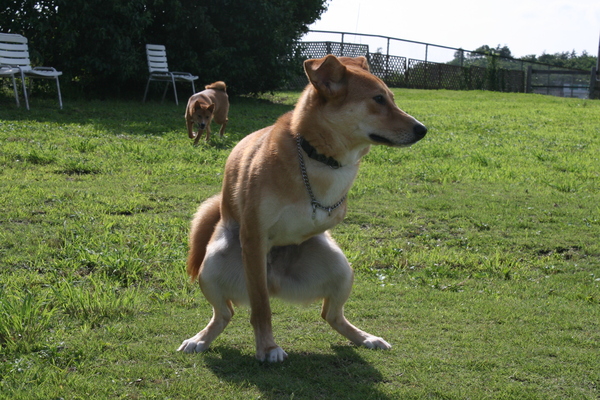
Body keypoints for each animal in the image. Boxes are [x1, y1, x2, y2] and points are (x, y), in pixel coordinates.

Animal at [178, 55, 426, 362]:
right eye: (378, 99)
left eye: (391, 98)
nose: (422, 129)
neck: (317, 156)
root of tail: (276, 282)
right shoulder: (253, 238)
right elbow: (261, 306)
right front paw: (267, 347)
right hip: (211, 267)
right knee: (225, 313)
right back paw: (200, 339)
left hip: (341, 268)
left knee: (331, 314)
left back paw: (365, 338)